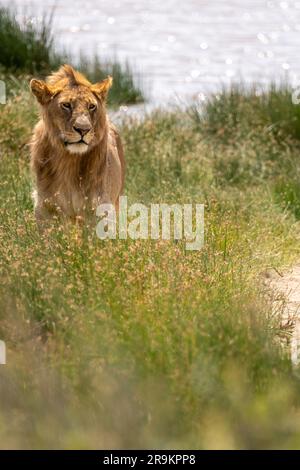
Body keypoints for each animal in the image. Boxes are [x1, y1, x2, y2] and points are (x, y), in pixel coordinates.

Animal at [29, 64, 125, 224]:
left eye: (91, 106)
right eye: (66, 105)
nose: (83, 129)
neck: (69, 161)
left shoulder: (99, 207)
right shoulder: (46, 207)